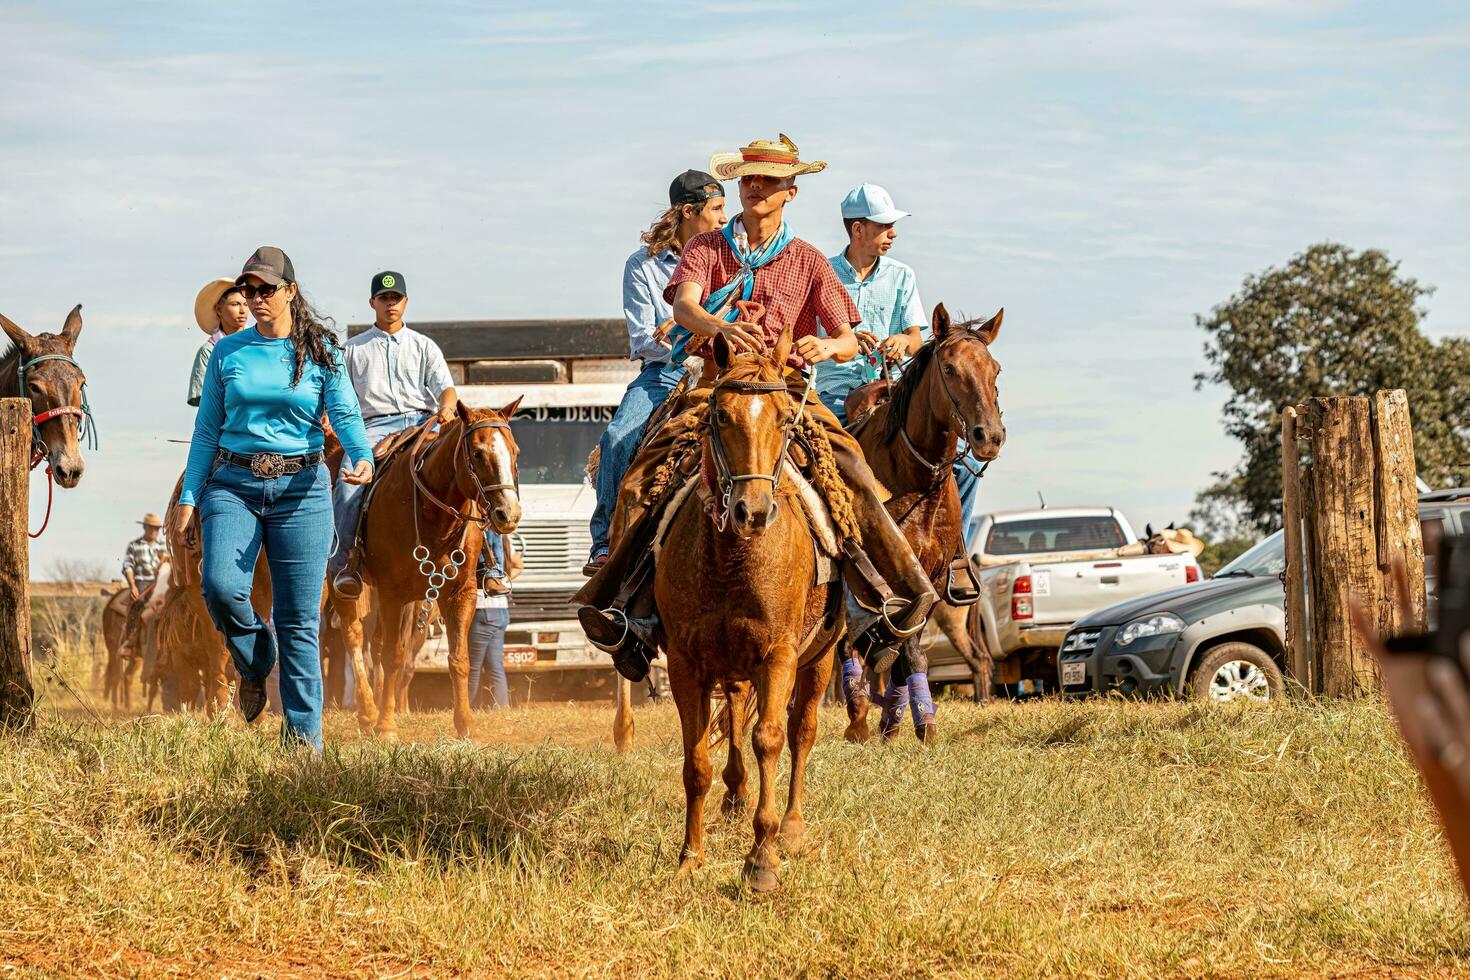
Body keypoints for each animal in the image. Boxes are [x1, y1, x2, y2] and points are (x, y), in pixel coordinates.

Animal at [846, 302, 1005, 740]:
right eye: (949, 368)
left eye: (995, 369)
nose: (990, 437)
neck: (918, 481)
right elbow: (902, 649)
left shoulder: (930, 581)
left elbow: (907, 650)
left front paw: (903, 721)